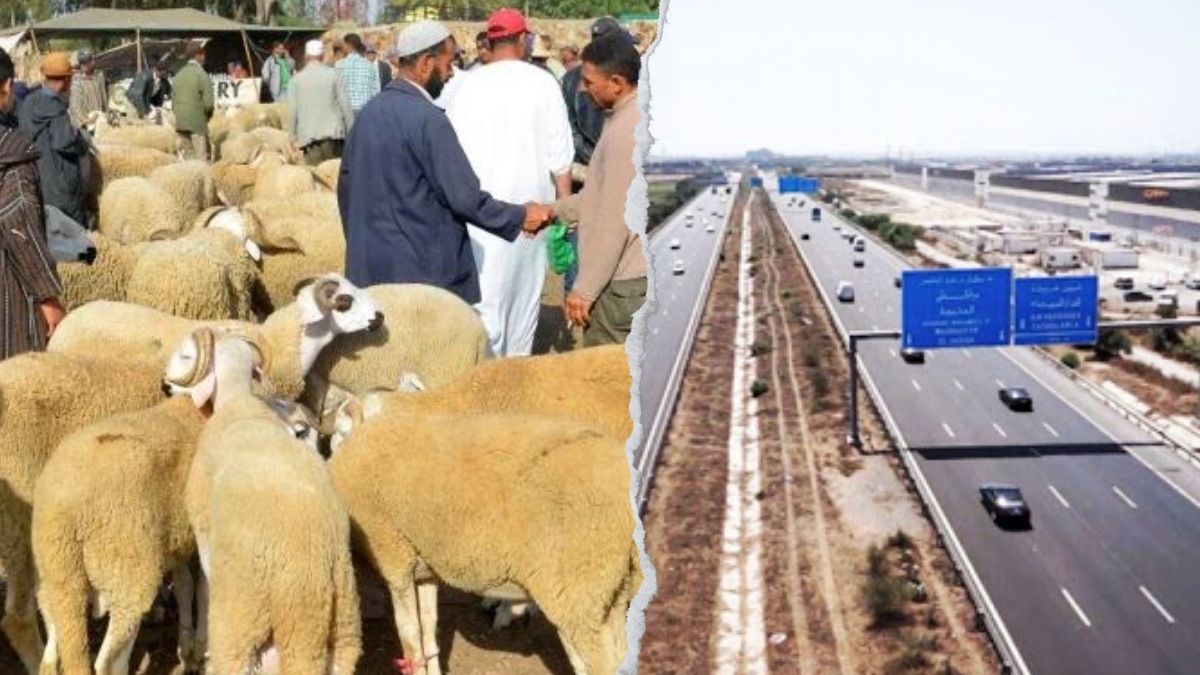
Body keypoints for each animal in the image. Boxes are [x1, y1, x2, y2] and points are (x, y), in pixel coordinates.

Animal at [32, 326, 319, 672]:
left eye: (184, 355)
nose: (165, 384)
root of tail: (64, 509)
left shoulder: (177, 539)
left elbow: (184, 587)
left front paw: (187, 647)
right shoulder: (202, 534)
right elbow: (204, 590)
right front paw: (202, 648)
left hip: (58, 576)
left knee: (52, 652)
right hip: (126, 574)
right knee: (108, 661)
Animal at [175, 331, 357, 672]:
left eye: (185, 356)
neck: (238, 399)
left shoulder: (204, 531)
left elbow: (203, 587)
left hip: (244, 623)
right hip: (344, 631)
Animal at [328, 410, 643, 672]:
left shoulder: (394, 556)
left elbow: (410, 637)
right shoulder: (424, 568)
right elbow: (429, 630)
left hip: (580, 591)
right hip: (608, 593)